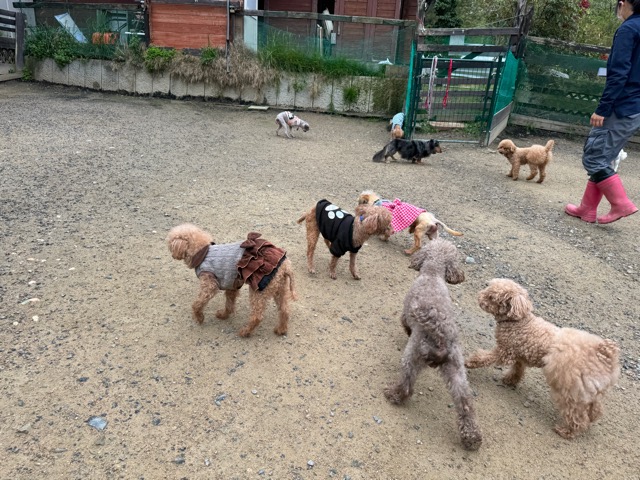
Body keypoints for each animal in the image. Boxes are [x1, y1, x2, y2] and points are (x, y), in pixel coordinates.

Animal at [167, 224, 297, 337]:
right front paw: (223, 315)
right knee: (285, 310)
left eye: (169, 243)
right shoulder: (231, 284)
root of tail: (286, 266)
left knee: (257, 316)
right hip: (279, 288)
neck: (202, 252)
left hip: (259, 290)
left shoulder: (209, 284)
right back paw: (281, 330)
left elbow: (197, 304)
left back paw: (245, 332)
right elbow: (229, 303)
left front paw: (199, 317)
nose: (172, 255)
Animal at [384, 239, 482, 451]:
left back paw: (393, 394)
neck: (432, 273)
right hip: (456, 366)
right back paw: (472, 438)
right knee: (465, 402)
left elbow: (404, 323)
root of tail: (441, 335)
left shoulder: (405, 314)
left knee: (407, 385)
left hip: (412, 355)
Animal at [466, 278, 620, 439]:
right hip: (588, 389)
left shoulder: (505, 352)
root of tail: (605, 356)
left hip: (570, 388)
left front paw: (469, 362)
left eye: (491, 297)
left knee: (577, 416)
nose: (479, 297)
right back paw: (592, 417)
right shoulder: (519, 355)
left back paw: (567, 431)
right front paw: (510, 380)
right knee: (595, 407)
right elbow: (517, 369)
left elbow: (485, 357)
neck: (518, 321)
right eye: (487, 289)